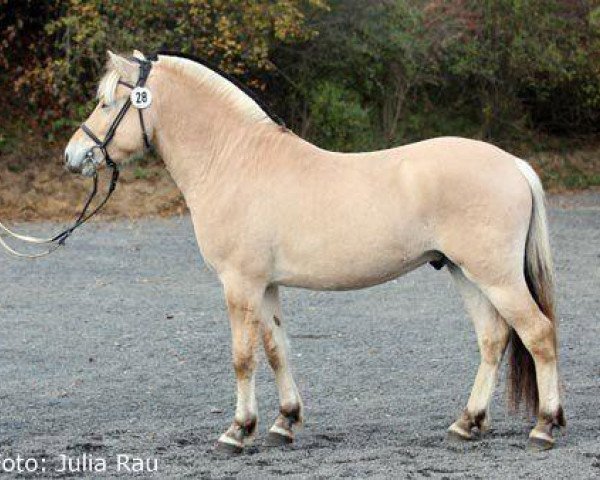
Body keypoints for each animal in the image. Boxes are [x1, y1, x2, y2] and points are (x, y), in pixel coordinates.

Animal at [63, 50, 564, 452]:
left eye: (107, 103)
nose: (73, 155)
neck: (233, 160)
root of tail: (513, 164)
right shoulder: (265, 286)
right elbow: (276, 350)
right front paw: (284, 423)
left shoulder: (239, 284)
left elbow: (242, 357)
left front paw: (237, 430)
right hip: (465, 272)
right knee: (493, 338)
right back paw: (468, 423)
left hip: (495, 276)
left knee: (538, 333)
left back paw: (543, 427)